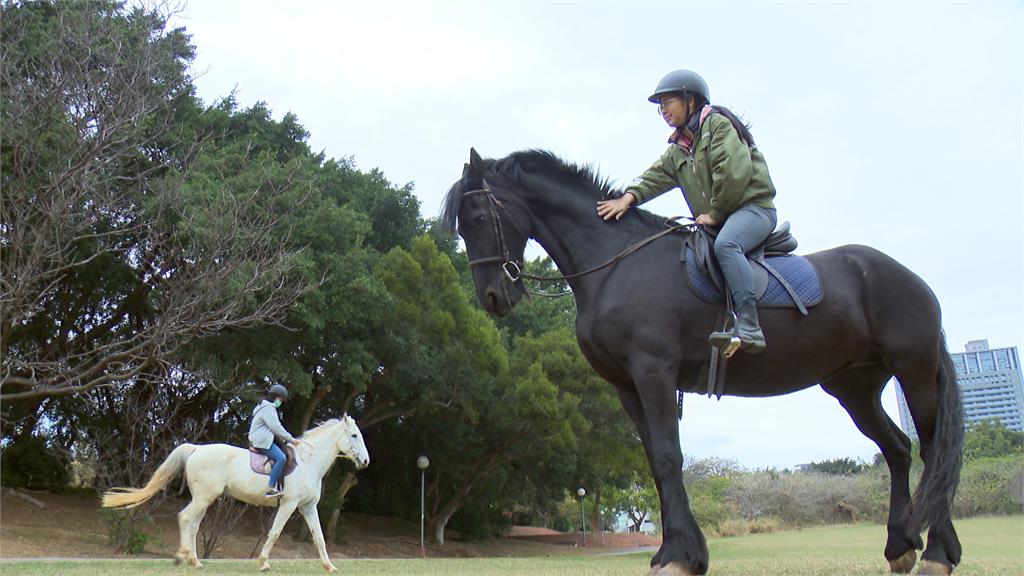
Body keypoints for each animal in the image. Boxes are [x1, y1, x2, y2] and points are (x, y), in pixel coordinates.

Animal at [99, 412, 370, 569]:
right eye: (354, 435)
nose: (366, 461)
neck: (308, 462)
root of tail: (196, 448)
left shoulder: (307, 506)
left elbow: (318, 537)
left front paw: (329, 567)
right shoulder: (289, 504)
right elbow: (275, 533)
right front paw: (263, 563)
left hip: (204, 498)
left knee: (193, 524)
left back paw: (192, 560)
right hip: (204, 497)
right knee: (185, 518)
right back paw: (185, 557)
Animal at [444, 148, 962, 573]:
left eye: (478, 215)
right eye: (462, 225)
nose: (493, 296)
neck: (617, 263)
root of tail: (906, 277)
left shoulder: (653, 372)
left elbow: (668, 456)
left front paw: (676, 555)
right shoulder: (626, 386)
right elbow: (657, 462)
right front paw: (685, 551)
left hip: (914, 372)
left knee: (934, 450)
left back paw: (937, 551)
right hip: (854, 387)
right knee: (897, 448)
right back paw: (900, 545)